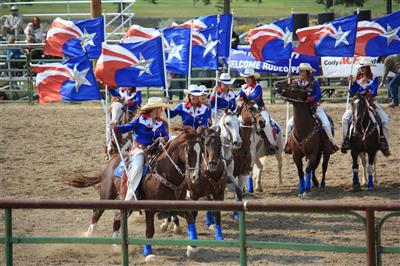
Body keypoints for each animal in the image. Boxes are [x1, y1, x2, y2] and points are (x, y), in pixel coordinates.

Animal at [67, 127, 203, 262]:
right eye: (189, 150)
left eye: (201, 151)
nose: (195, 176)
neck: (165, 171)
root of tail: (112, 162)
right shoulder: (150, 208)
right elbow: (149, 231)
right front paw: (148, 254)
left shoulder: (175, 205)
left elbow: (190, 219)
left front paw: (192, 248)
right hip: (106, 196)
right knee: (96, 213)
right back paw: (88, 237)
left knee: (117, 218)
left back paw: (115, 246)